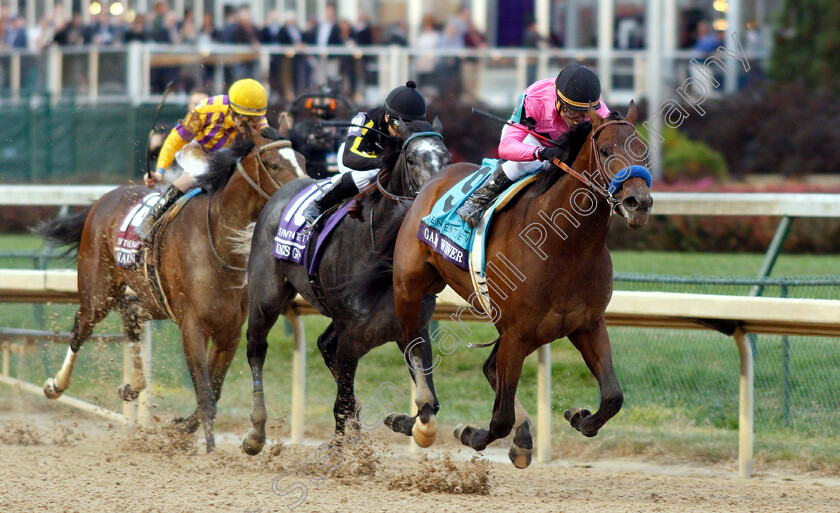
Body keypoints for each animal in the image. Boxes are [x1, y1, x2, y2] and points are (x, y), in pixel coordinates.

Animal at [37, 126, 306, 450]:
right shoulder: (192, 326)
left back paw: (133, 385)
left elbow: (213, 391)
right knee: (81, 327)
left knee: (131, 313)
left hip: (153, 299)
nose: (306, 193)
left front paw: (180, 430)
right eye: (275, 164)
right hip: (99, 291)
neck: (219, 244)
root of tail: (103, 200)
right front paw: (210, 450)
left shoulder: (229, 331)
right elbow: (205, 393)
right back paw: (55, 385)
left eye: (303, 159)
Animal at [240, 118, 450, 454]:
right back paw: (256, 433)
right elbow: (343, 400)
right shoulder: (351, 338)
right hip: (266, 298)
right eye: (411, 159)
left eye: (446, 158)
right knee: (256, 347)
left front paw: (399, 422)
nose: (436, 199)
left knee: (324, 345)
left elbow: (429, 403)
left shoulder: (414, 331)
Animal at [390, 103, 652, 468]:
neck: (563, 246)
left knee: (487, 367)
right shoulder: (516, 332)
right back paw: (421, 417)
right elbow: (500, 420)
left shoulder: (586, 324)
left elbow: (613, 396)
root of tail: (432, 180)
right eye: (605, 150)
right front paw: (469, 433)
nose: (638, 203)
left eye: (642, 150)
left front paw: (578, 417)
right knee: (412, 342)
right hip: (409, 287)